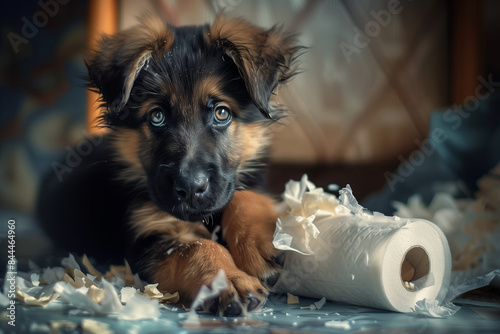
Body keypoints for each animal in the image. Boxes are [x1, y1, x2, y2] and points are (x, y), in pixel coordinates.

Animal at [36, 15, 300, 318]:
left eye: (222, 113)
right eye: (157, 116)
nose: (190, 188)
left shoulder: (249, 181)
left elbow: (245, 197)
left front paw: (263, 242)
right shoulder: (151, 235)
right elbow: (196, 247)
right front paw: (227, 280)